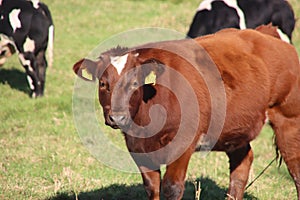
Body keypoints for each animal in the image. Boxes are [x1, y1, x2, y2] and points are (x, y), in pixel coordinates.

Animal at [72, 28, 300, 200]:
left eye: (135, 83)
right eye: (103, 83)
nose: (117, 117)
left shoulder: (183, 146)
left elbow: (171, 188)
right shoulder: (138, 150)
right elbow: (152, 188)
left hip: (288, 120)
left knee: (295, 168)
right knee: (241, 165)